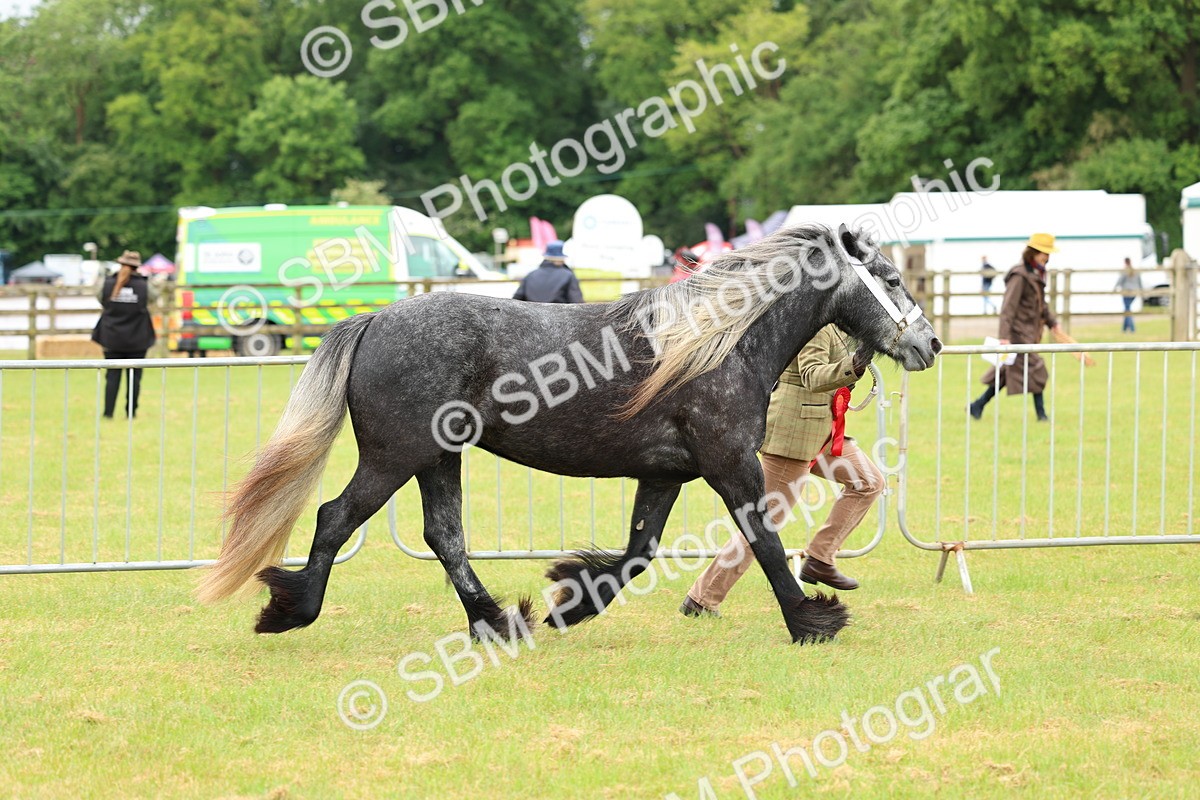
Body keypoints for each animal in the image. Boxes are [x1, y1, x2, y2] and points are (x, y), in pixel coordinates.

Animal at [197, 223, 941, 644]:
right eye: (891, 276)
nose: (930, 344)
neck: (718, 343)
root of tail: (375, 319)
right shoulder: (733, 465)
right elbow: (762, 541)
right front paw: (813, 621)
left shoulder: (664, 474)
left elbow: (637, 554)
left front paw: (567, 601)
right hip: (395, 456)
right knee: (335, 518)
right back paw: (291, 611)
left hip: (438, 457)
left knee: (445, 536)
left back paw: (498, 623)